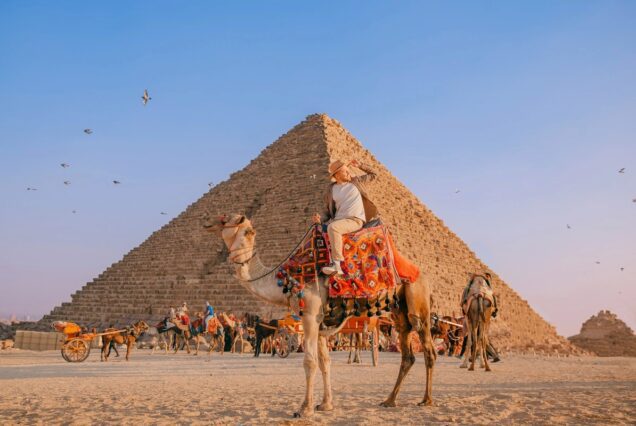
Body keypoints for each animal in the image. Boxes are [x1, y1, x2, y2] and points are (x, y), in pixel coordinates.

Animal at [204, 215, 438, 418]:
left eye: (226, 220)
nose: (207, 223)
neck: (284, 279)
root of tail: (424, 278)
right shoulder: (320, 324)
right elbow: (325, 362)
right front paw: (325, 404)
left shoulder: (310, 315)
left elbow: (310, 362)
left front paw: (304, 408)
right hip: (400, 315)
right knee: (408, 356)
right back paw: (390, 400)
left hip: (419, 307)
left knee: (428, 351)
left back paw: (426, 400)